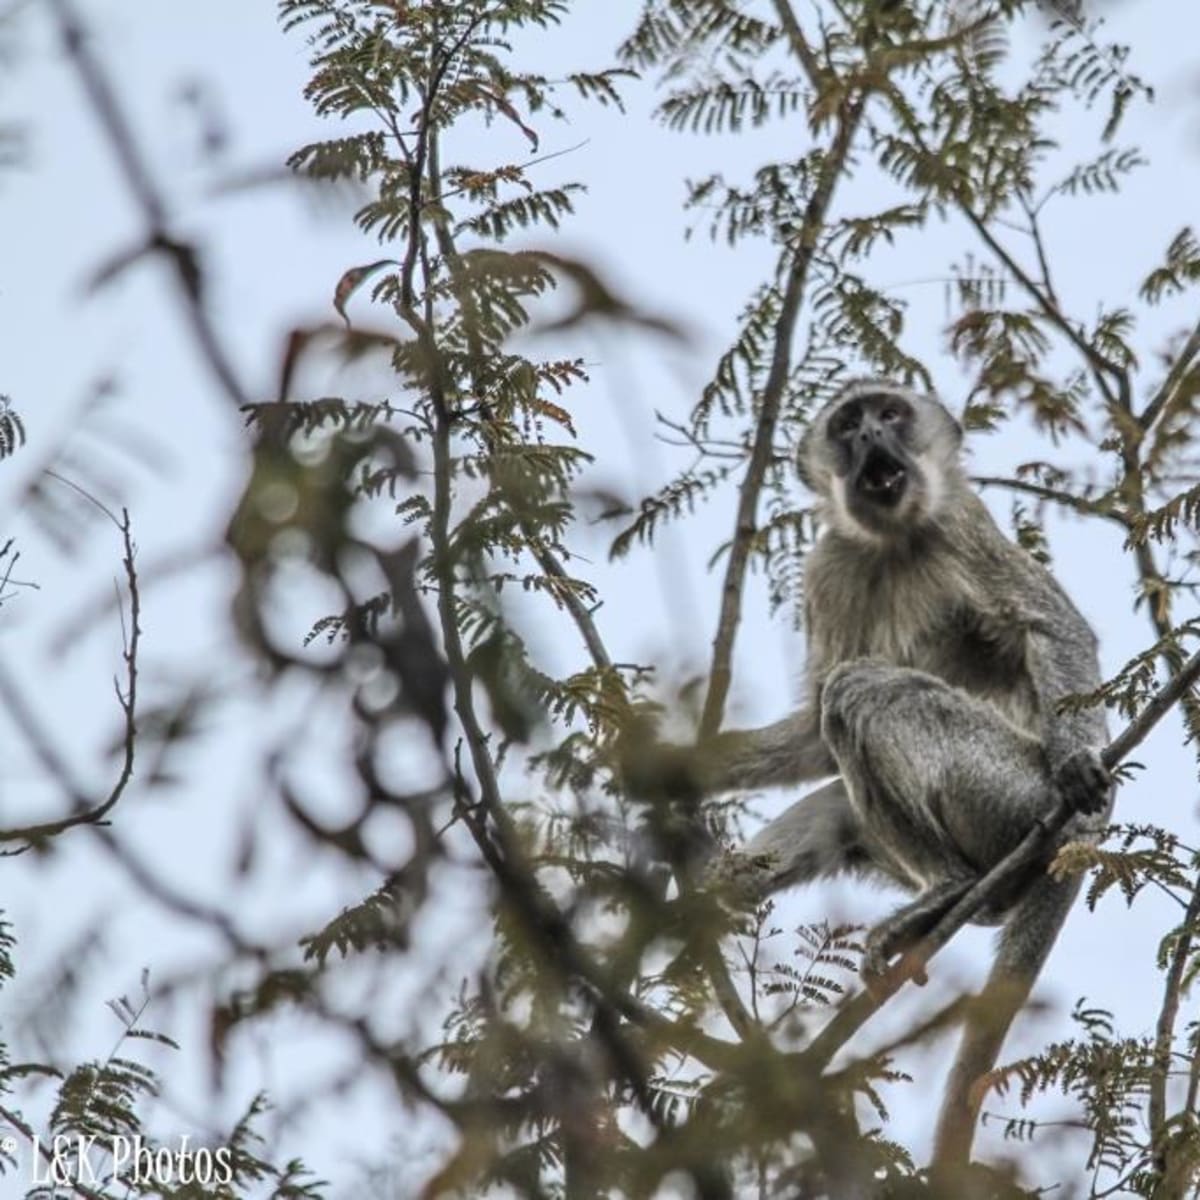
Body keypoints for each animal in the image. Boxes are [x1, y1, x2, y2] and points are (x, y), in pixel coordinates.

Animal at [664, 378, 1112, 1174]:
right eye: (850, 425)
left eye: (891, 414)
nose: (873, 434)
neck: (892, 543)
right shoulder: (829, 563)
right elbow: (815, 736)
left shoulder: (961, 520)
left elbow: (1051, 629)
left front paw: (1078, 766)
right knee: (839, 789)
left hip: (1006, 788)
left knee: (862, 690)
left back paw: (951, 889)